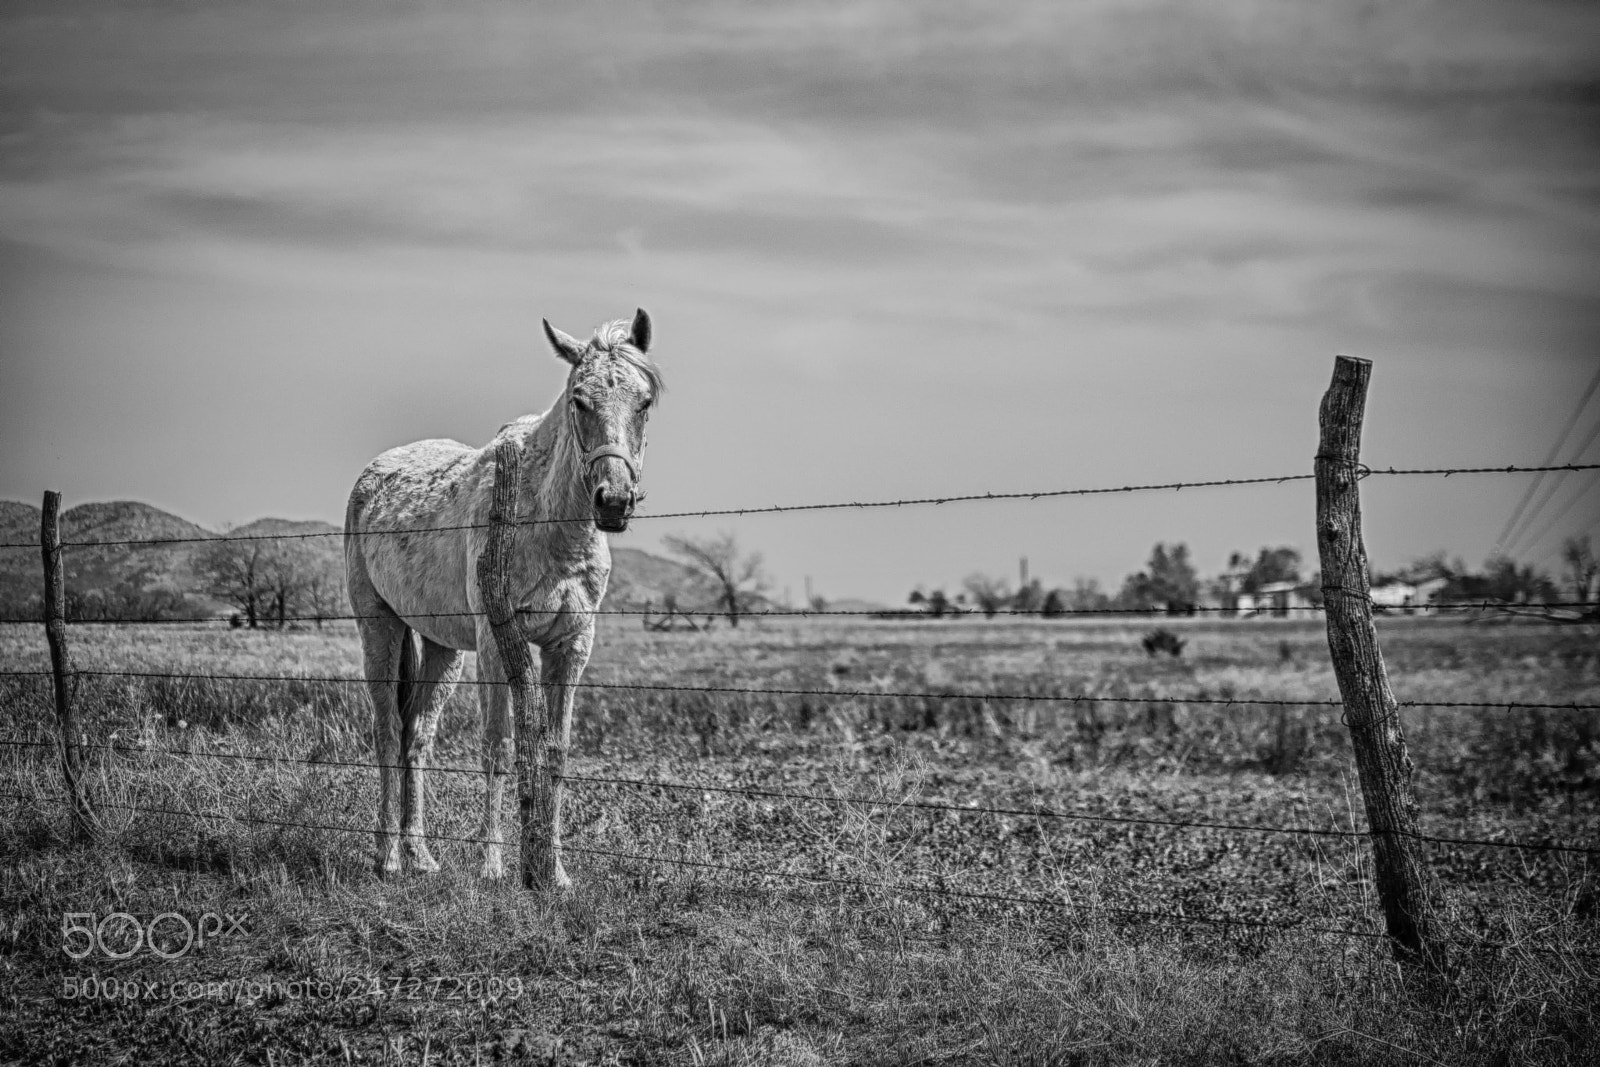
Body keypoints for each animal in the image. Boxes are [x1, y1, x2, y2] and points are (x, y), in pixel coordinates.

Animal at [344, 308, 661, 883]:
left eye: (644, 401)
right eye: (579, 400)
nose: (613, 501)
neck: (548, 521)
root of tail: (372, 477)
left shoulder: (570, 646)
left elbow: (555, 753)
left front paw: (554, 871)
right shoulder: (496, 642)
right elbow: (497, 746)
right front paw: (492, 865)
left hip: (443, 647)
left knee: (417, 735)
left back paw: (421, 854)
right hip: (379, 627)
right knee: (387, 730)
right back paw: (388, 856)